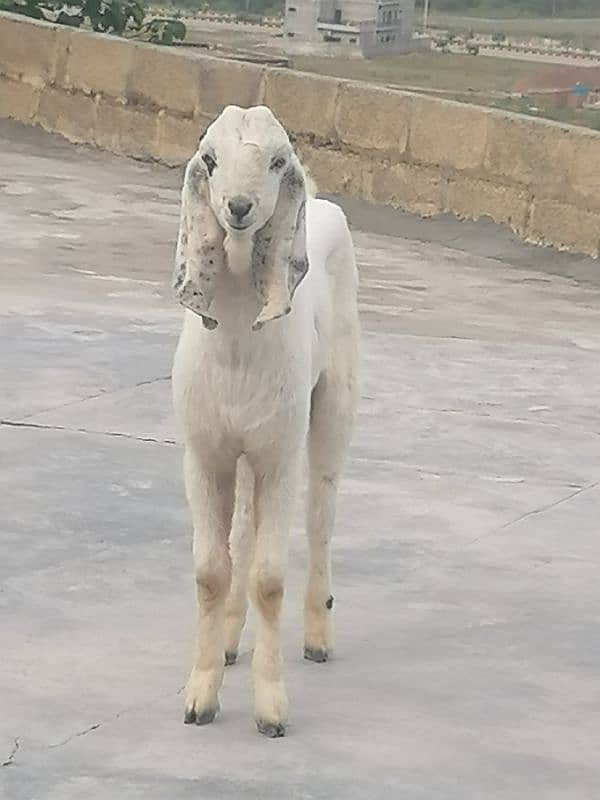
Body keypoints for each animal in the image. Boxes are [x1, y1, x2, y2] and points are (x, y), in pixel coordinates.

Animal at [172, 106, 360, 736]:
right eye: (209, 159)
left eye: (278, 161)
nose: (238, 206)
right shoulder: (204, 452)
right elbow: (212, 571)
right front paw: (200, 697)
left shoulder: (279, 455)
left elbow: (270, 579)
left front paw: (271, 709)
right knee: (244, 531)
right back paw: (231, 641)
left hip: (333, 403)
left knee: (322, 515)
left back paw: (319, 636)